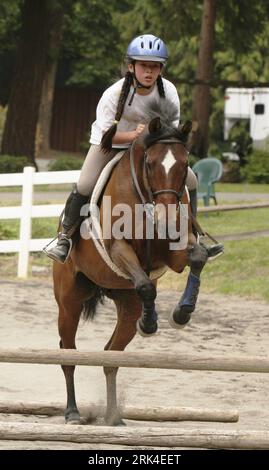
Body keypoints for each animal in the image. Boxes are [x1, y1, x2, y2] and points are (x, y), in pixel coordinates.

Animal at [51, 111, 203, 426]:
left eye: (185, 165)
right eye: (150, 163)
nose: (166, 218)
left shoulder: (176, 253)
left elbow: (198, 257)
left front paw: (181, 313)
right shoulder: (118, 249)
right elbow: (145, 284)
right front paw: (150, 323)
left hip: (125, 302)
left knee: (111, 357)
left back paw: (113, 418)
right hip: (69, 303)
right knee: (68, 353)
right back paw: (72, 412)